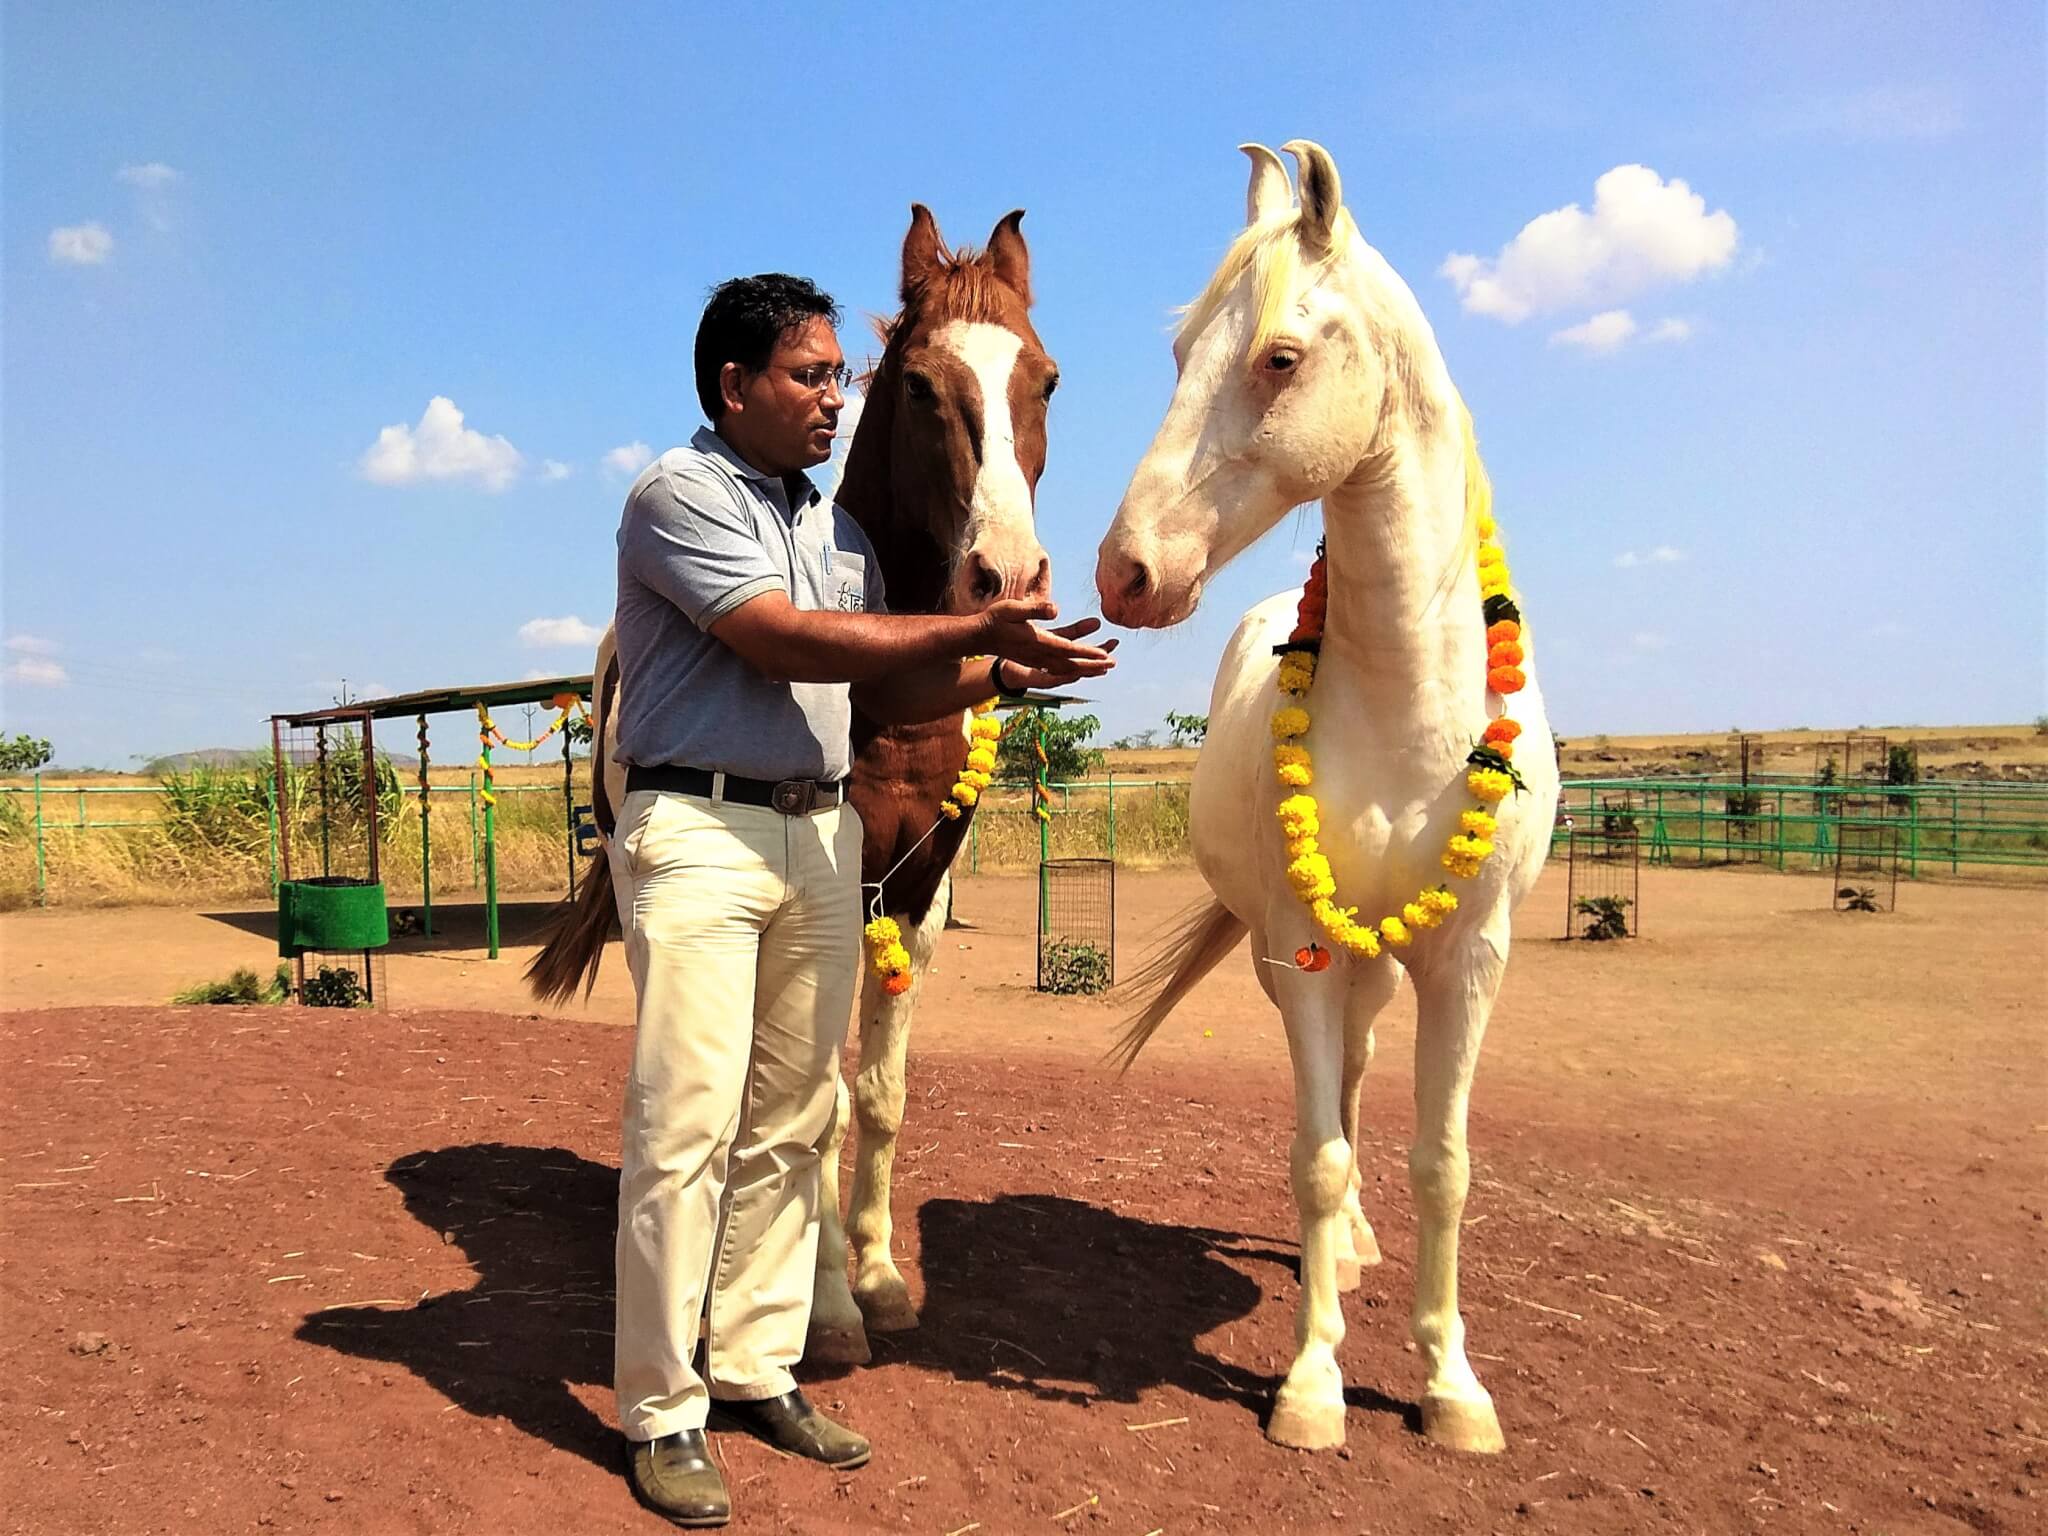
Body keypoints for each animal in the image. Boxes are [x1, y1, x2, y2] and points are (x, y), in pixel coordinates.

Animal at [1097, 141, 1556, 1458]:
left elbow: (1441, 1163)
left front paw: (1450, 1387)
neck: (1409, 701)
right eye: (1176, 355)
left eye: (1278, 358)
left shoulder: (1470, 957)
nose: (1124, 570)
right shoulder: (1301, 945)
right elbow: (1316, 1155)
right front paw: (1312, 1384)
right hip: (1312, 957)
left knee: (1362, 1083)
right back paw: (1336, 1259)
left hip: (1380, 963)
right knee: (1339, 1095)